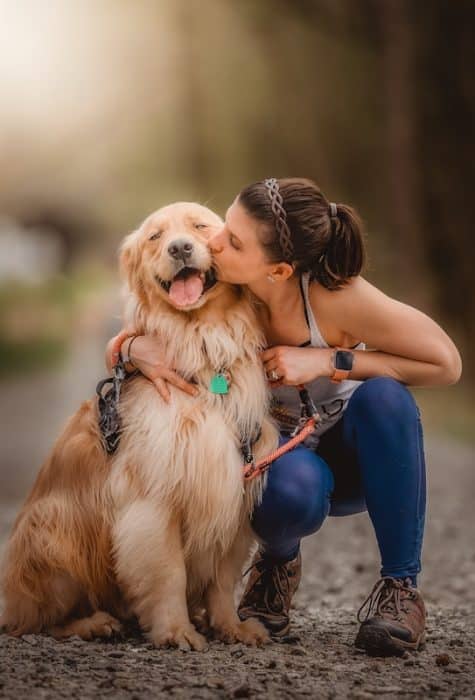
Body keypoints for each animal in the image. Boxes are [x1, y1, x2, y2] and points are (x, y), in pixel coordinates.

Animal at [0, 202, 278, 652]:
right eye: (154, 237)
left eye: (200, 227)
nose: (179, 248)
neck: (202, 346)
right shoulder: (154, 497)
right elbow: (168, 573)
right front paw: (176, 630)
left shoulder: (233, 487)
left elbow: (221, 579)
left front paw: (229, 626)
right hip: (55, 529)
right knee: (37, 621)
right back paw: (94, 623)